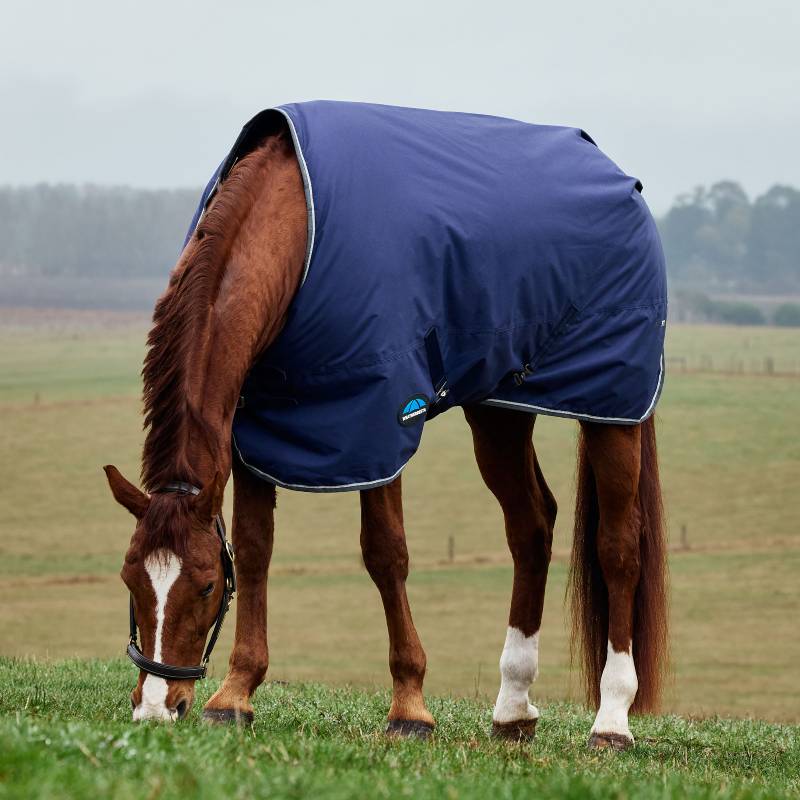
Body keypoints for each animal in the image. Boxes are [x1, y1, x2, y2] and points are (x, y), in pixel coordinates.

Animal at [105, 102, 668, 749]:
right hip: (498, 409)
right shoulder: (258, 431)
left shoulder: (378, 421)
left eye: (202, 586)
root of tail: (617, 176)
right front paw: (236, 693)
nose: (155, 707)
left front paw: (409, 706)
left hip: (613, 405)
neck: (298, 228)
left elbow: (385, 553)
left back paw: (612, 718)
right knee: (531, 527)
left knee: (618, 545)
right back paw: (513, 706)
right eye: (130, 580)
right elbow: (253, 549)